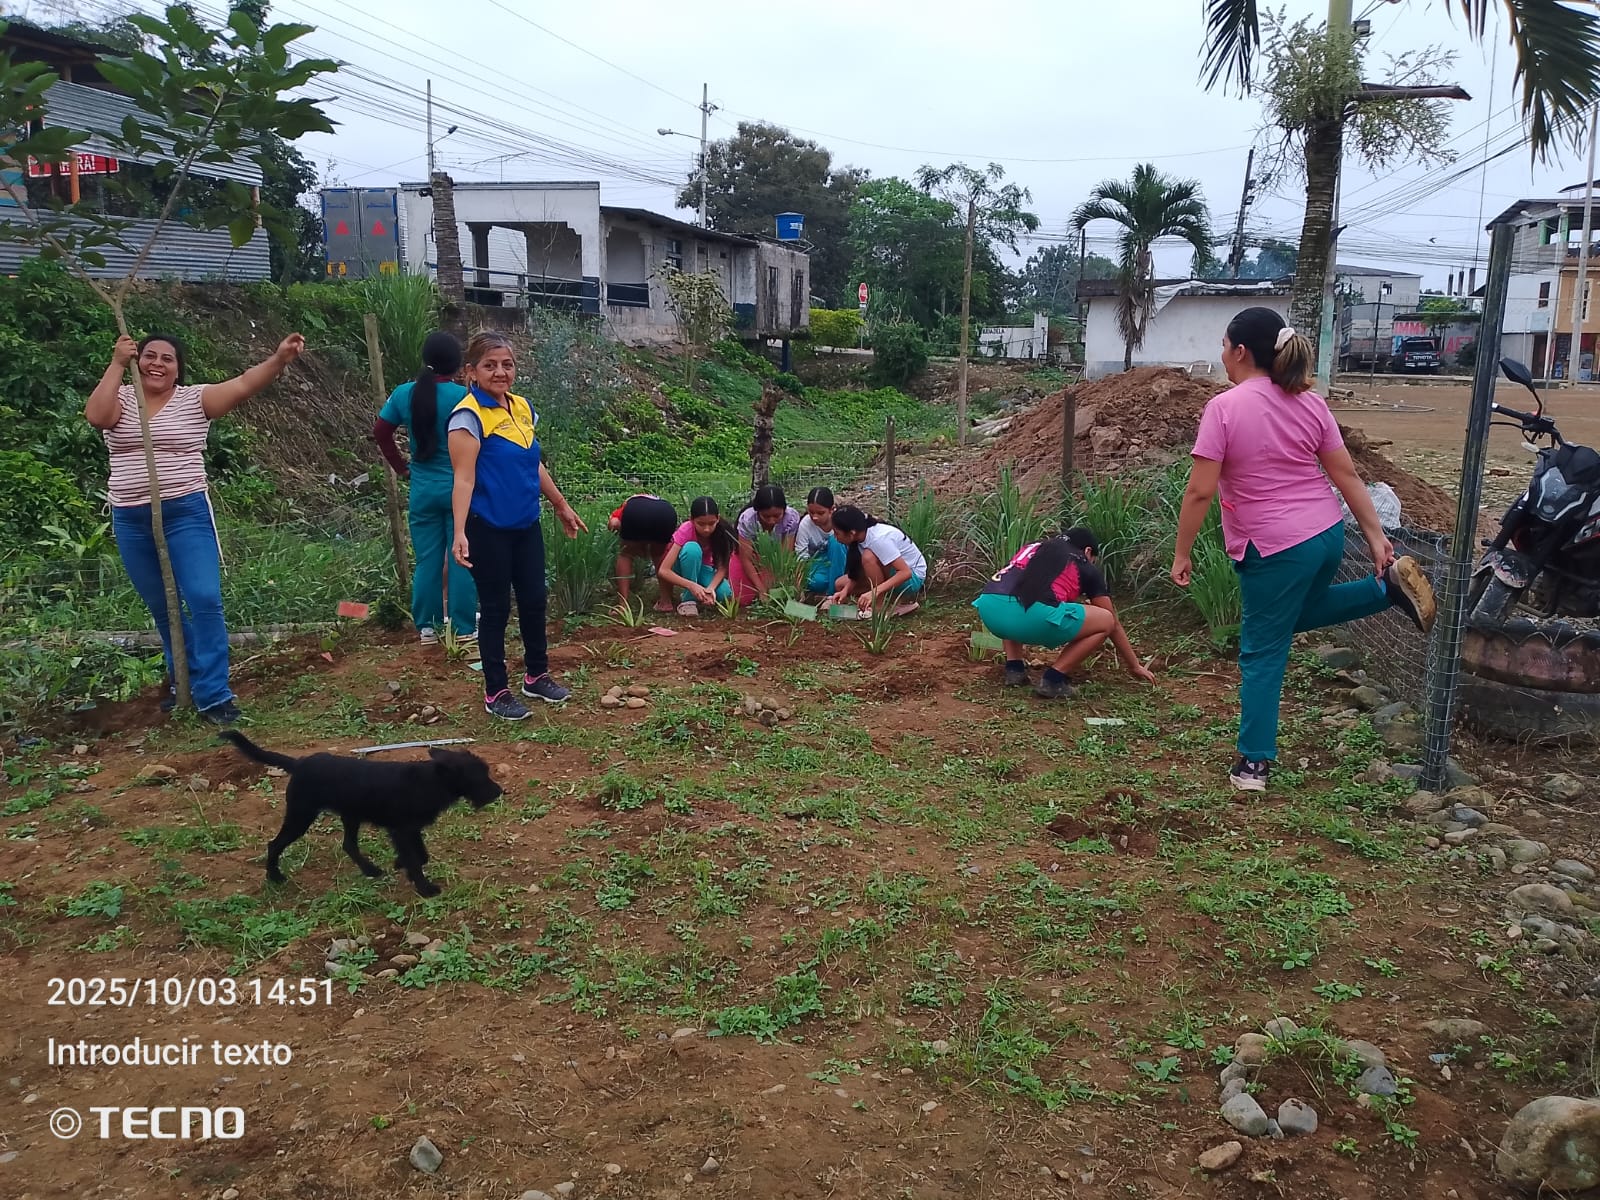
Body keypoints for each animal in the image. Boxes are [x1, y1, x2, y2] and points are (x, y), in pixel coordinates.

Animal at [222, 731, 502, 897]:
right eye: (480, 777)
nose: (500, 791)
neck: (432, 781)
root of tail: (299, 763)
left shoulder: (410, 830)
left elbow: (421, 854)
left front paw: (399, 863)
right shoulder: (402, 830)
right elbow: (416, 859)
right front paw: (424, 887)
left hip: (350, 816)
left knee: (349, 845)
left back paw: (370, 869)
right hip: (300, 816)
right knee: (274, 844)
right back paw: (274, 876)